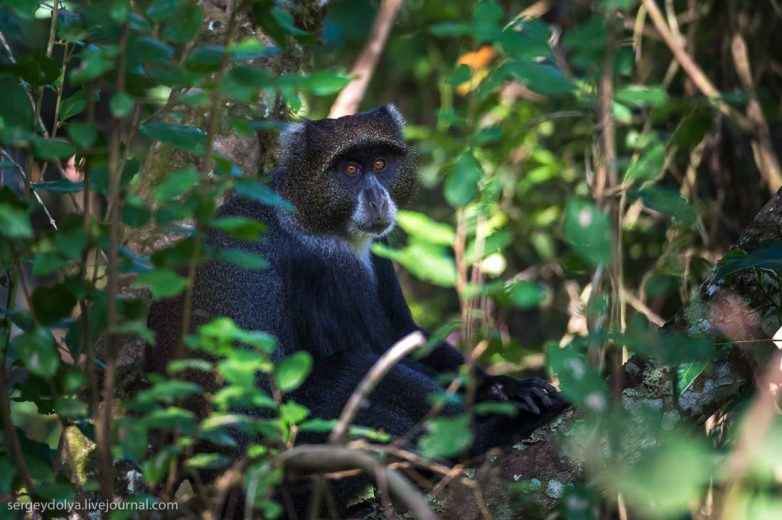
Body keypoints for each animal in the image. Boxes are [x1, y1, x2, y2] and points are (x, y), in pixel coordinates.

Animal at [144, 105, 568, 512]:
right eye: (350, 169)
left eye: (380, 164)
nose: (378, 197)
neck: (309, 215)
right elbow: (258, 397)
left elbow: (403, 335)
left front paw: (506, 386)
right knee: (355, 372)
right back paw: (480, 441)